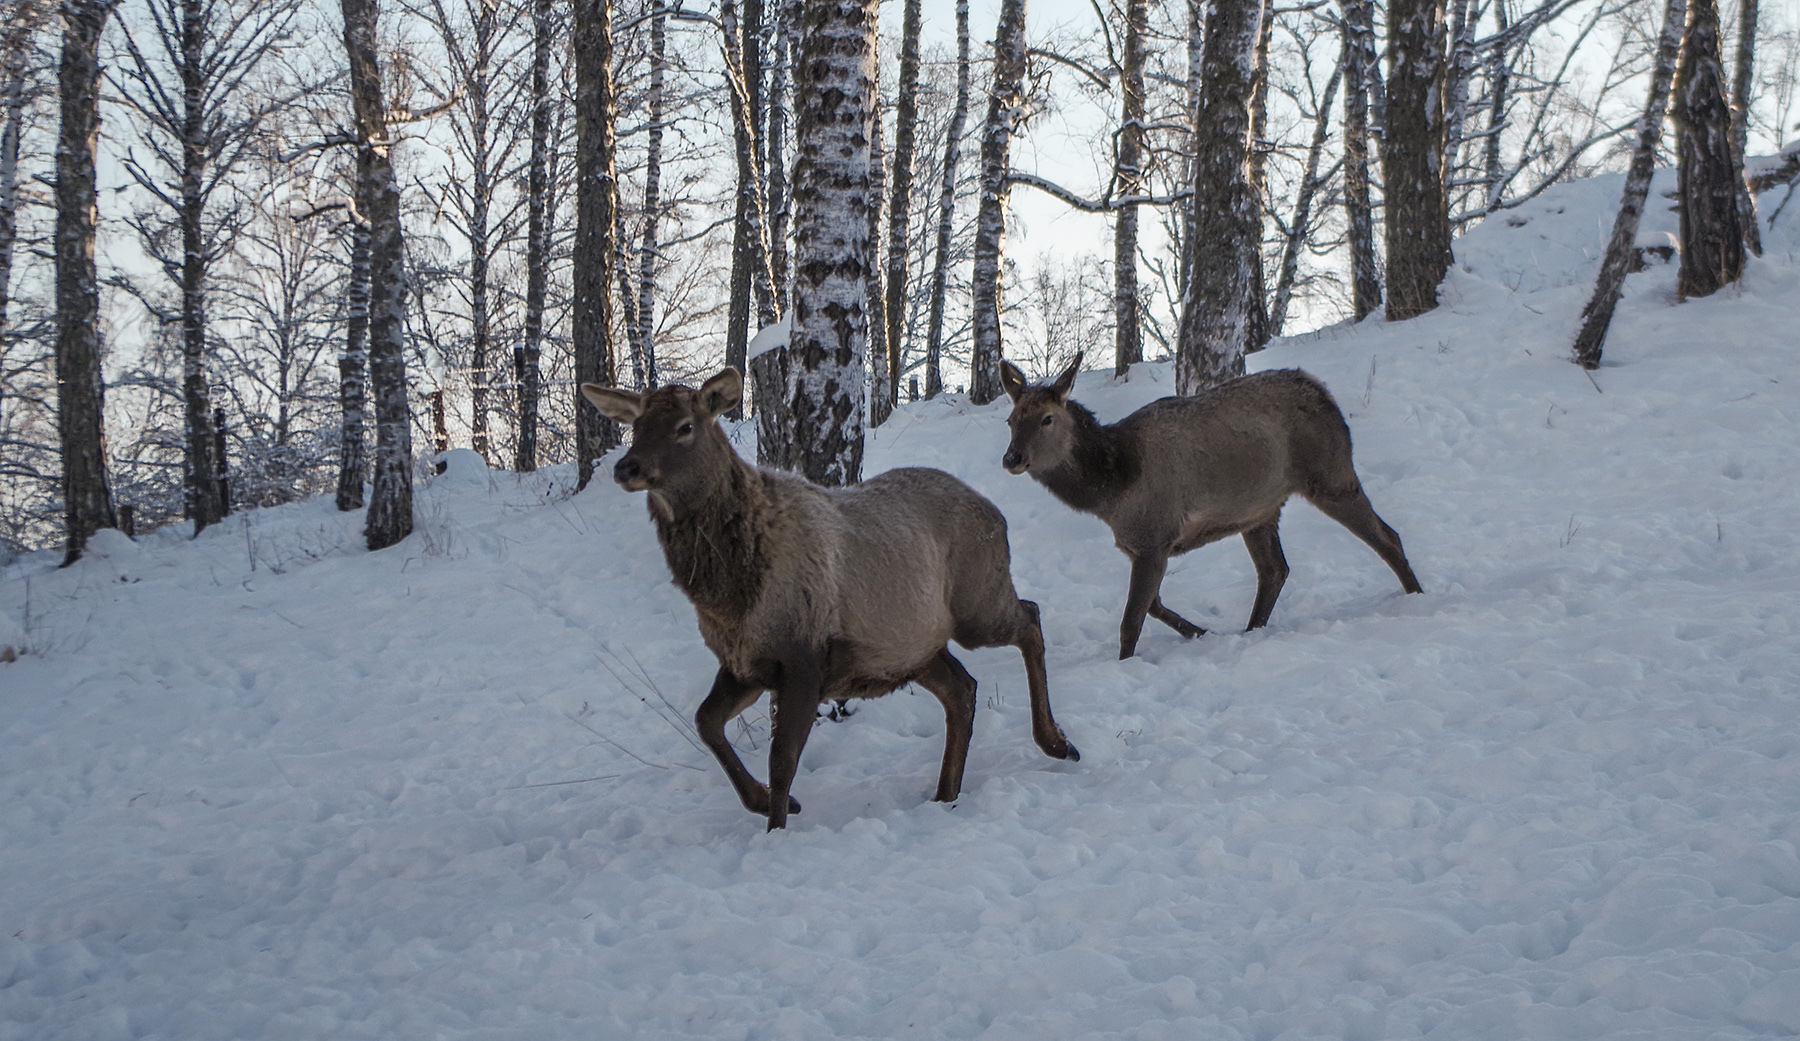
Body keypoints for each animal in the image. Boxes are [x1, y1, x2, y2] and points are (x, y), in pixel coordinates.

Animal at [583, 363, 1072, 828]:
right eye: (635, 425)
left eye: (685, 426)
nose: (626, 468)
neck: (730, 597)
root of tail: (996, 513)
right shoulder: (745, 664)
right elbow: (707, 723)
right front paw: (767, 802)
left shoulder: (804, 658)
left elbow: (782, 760)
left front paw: (776, 826)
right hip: (913, 648)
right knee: (963, 689)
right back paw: (946, 794)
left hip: (978, 604)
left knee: (1029, 617)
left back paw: (1056, 742)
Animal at [1000, 351, 1418, 655]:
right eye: (1011, 420)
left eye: (1047, 419)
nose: (1012, 458)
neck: (1112, 492)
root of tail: (1324, 391)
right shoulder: (1142, 546)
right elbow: (1153, 606)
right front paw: (1201, 631)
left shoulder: (1154, 539)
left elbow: (1131, 621)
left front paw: (1127, 661)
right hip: (1261, 509)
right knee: (1275, 570)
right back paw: (1251, 630)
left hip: (1330, 474)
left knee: (1387, 536)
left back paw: (1416, 594)